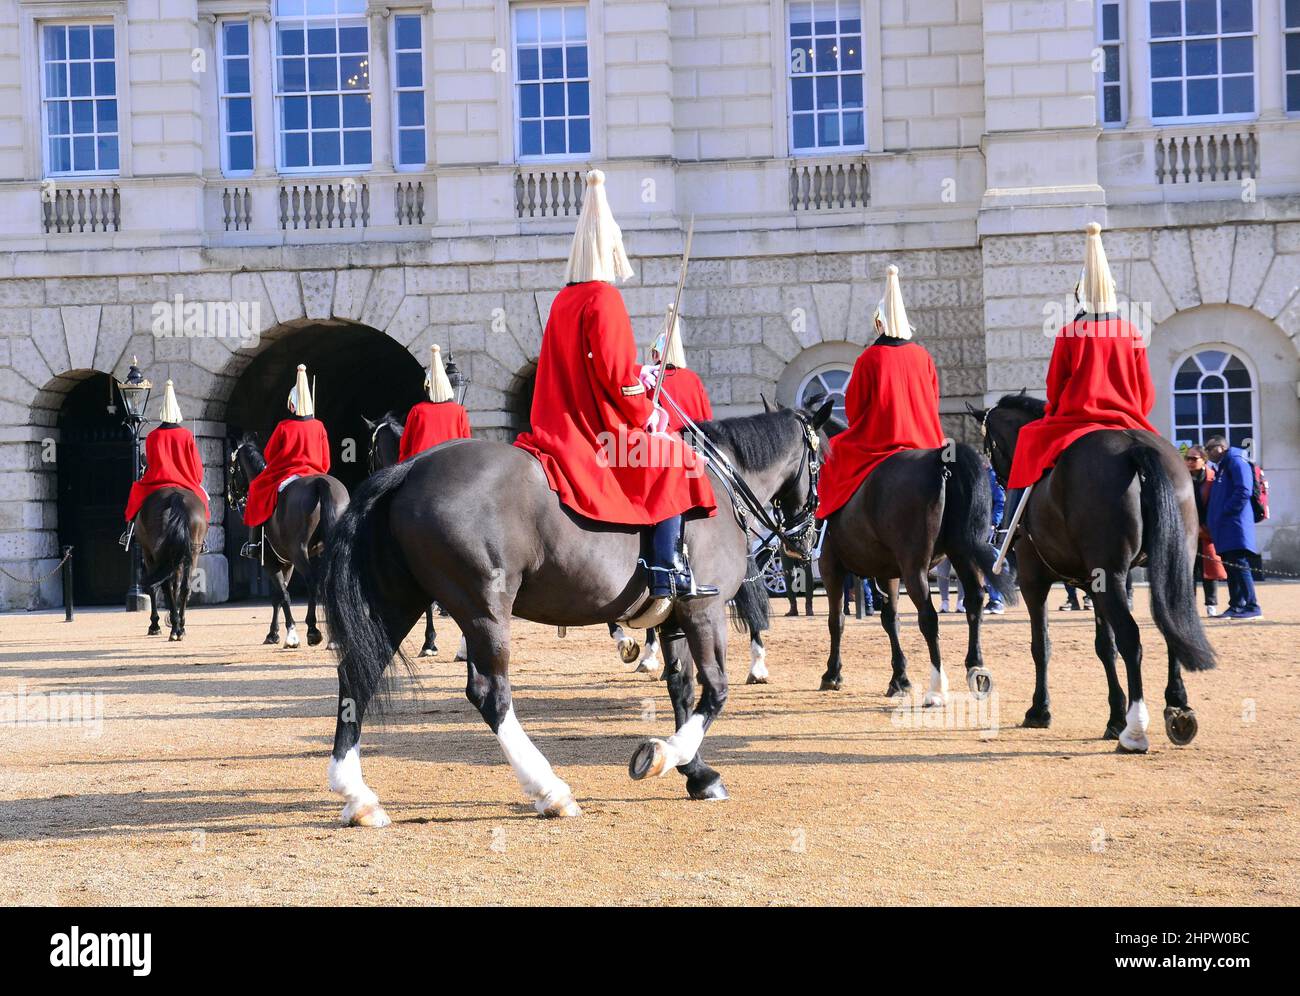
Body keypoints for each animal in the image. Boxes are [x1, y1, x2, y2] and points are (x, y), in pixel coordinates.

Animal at [135, 488, 208, 641]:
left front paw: (155, 625)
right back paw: (179, 627)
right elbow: (177, 587)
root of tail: (175, 496)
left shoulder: (148, 554)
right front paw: (178, 623)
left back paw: (174, 628)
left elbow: (154, 588)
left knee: (165, 586)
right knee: (185, 587)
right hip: (192, 554)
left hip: (157, 554)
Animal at [228, 433, 349, 649]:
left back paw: (313, 630)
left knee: (312, 581)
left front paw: (290, 633)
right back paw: (335, 638)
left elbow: (282, 594)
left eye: (231, 468)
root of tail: (320, 483)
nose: (231, 498)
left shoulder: (271, 561)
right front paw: (273, 633)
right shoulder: (286, 563)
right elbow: (278, 595)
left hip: (299, 552)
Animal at [817, 425, 1017, 705]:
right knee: (974, 601)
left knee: (929, 618)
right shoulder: (887, 573)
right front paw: (899, 678)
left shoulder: (830, 565)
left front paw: (832, 674)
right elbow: (891, 620)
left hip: (915, 569)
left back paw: (937, 687)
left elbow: (837, 621)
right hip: (962, 553)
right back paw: (976, 670)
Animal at [969, 394, 1215, 751]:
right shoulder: (1095, 583)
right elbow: (1104, 647)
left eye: (987, 446)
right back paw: (1178, 707)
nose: (999, 486)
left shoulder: (1034, 581)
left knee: (1132, 638)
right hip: (1170, 567)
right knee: (1172, 627)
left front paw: (1040, 709)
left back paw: (1136, 731)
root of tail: (1133, 445)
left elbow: (1041, 645)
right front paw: (1115, 714)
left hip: (1109, 577)